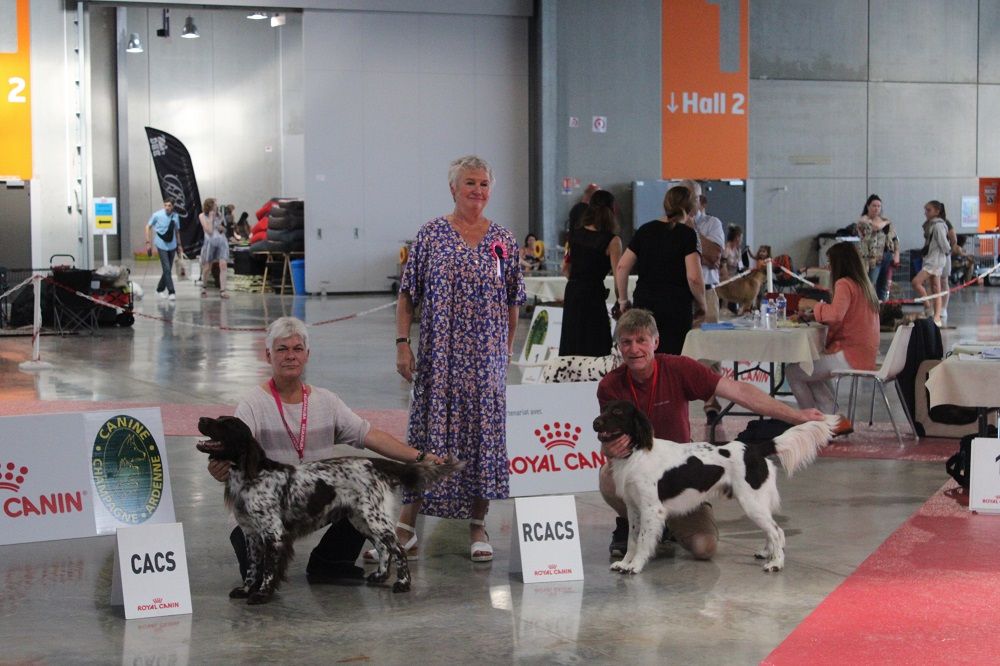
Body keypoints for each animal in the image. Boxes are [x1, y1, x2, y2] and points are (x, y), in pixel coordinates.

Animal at [196, 416, 464, 596]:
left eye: (226, 424)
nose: (201, 419)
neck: (250, 476)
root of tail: (375, 463)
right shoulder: (251, 534)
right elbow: (253, 567)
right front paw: (245, 590)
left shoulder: (274, 533)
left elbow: (269, 568)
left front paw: (262, 594)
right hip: (361, 519)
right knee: (383, 548)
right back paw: (379, 576)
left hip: (375, 519)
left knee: (397, 548)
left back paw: (403, 584)